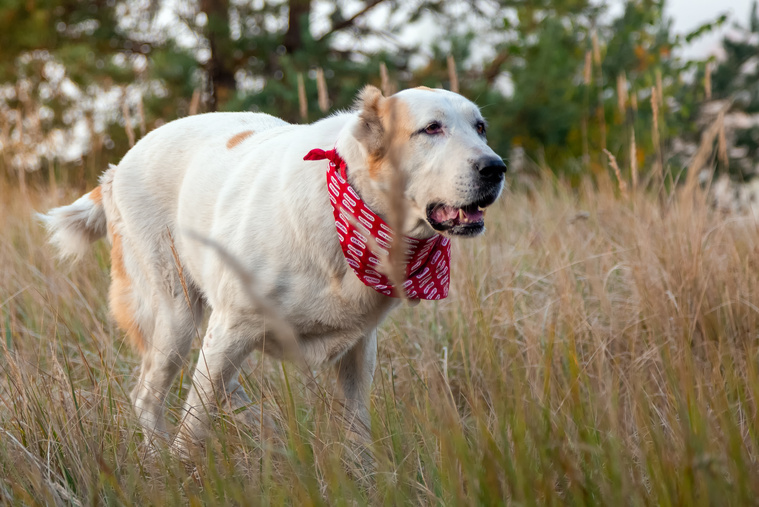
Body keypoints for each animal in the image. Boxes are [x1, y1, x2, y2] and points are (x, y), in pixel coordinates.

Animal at [40, 85, 504, 446]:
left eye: (480, 127)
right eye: (432, 128)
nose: (496, 167)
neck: (349, 214)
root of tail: (116, 169)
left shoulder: (358, 350)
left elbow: (357, 435)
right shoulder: (230, 329)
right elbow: (192, 429)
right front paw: (186, 476)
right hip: (176, 317)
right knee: (149, 397)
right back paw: (161, 463)